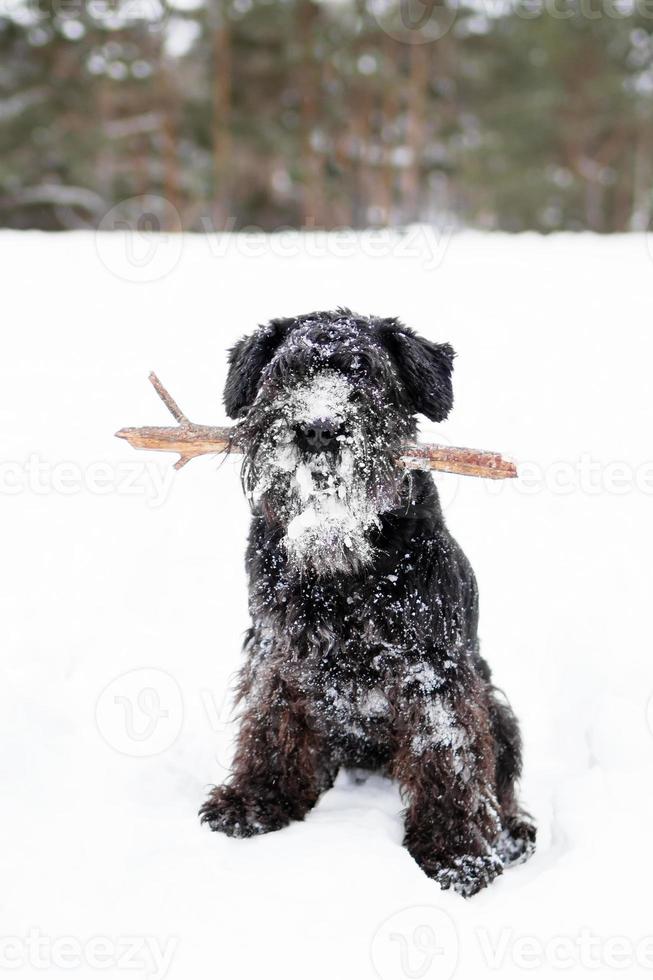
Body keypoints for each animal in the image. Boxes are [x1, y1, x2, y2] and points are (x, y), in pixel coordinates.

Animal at [200, 306, 536, 896]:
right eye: (284, 373)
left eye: (370, 375)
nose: (318, 426)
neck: (341, 572)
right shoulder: (275, 653)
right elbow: (269, 726)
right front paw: (255, 803)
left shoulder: (432, 671)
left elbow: (446, 757)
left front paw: (455, 856)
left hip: (497, 710)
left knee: (502, 785)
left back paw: (511, 835)